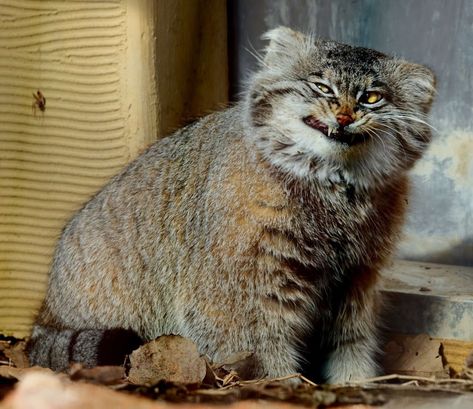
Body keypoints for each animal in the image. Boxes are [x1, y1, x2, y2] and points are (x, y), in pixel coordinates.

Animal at [28, 27, 436, 382]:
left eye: (372, 98)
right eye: (321, 87)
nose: (345, 115)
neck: (333, 189)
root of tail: (45, 311)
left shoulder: (358, 280)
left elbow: (351, 341)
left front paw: (355, 383)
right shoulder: (242, 291)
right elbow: (259, 346)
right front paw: (285, 385)